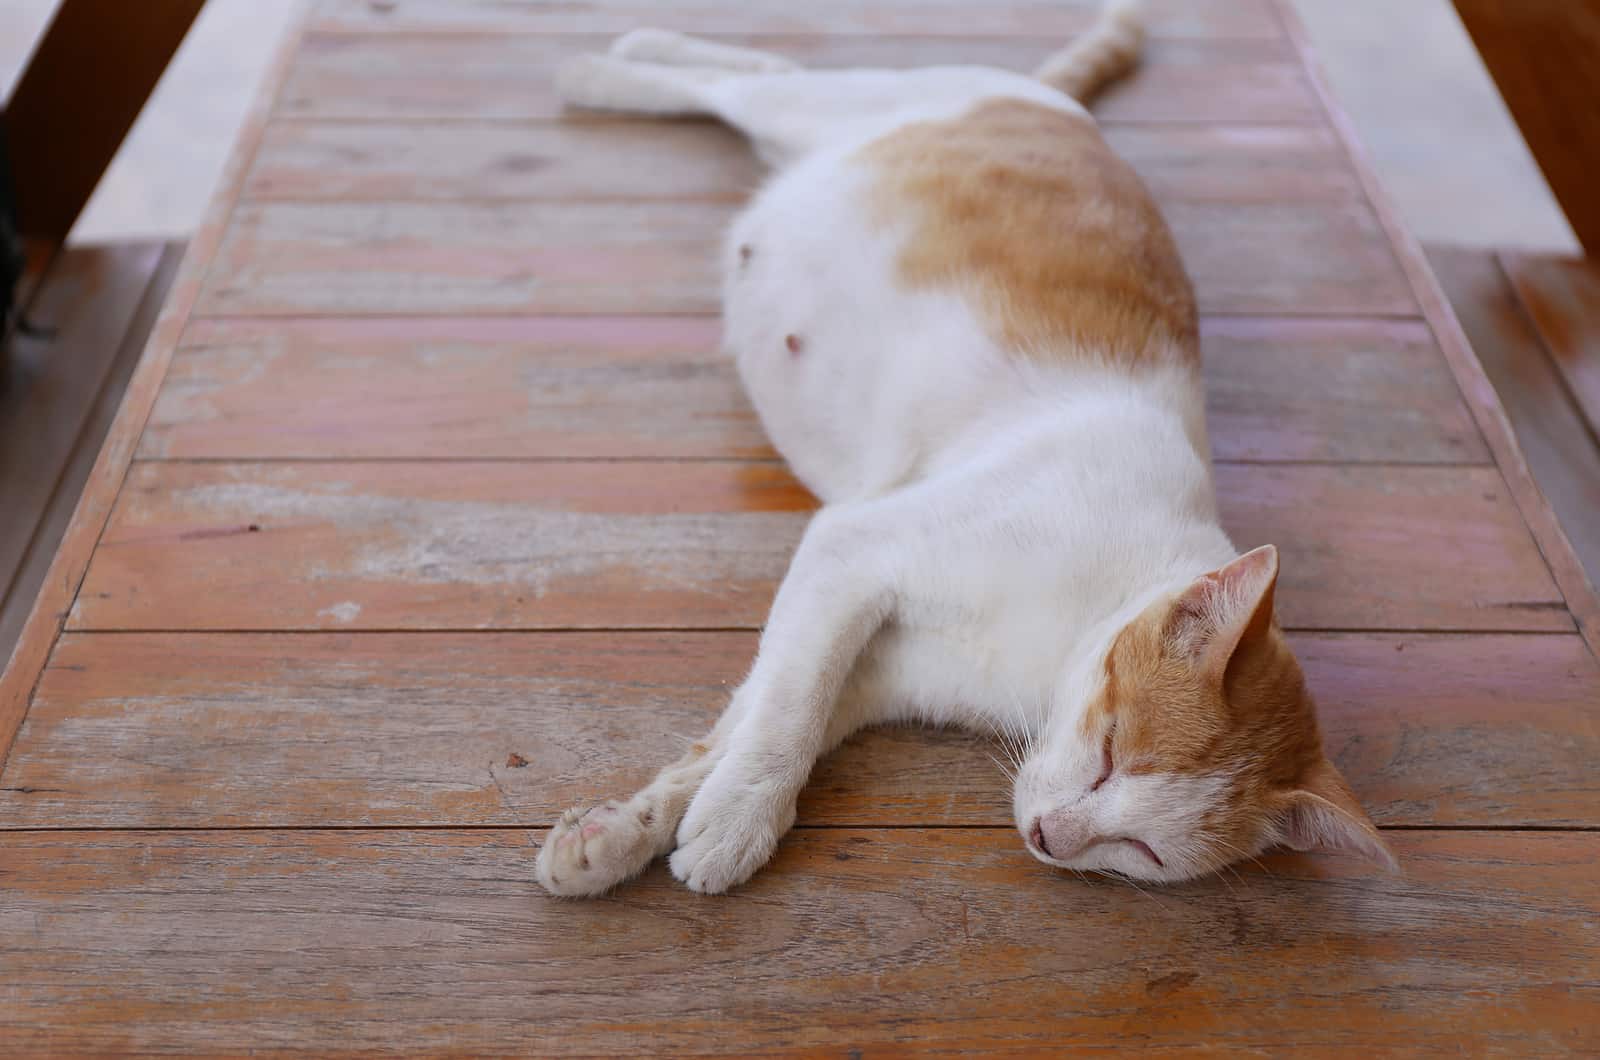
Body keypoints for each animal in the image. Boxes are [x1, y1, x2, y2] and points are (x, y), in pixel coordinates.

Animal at [531, 0, 1395, 896]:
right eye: (1110, 754)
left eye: (1143, 850)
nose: (1051, 836)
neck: (1063, 636)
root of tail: (1055, 104)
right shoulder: (852, 549)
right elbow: (783, 711)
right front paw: (732, 819)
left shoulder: (870, 660)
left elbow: (759, 713)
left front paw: (629, 828)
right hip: (829, 108)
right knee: (745, 81)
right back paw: (608, 65)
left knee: (760, 76)